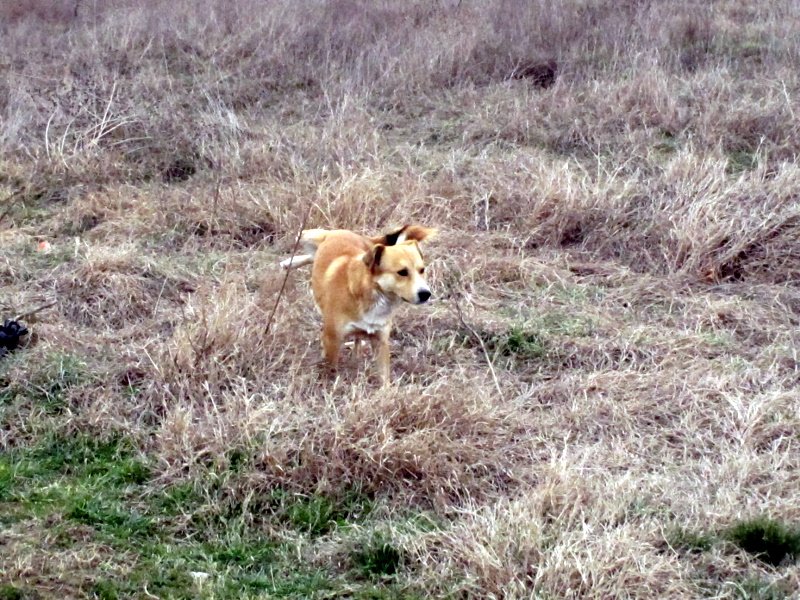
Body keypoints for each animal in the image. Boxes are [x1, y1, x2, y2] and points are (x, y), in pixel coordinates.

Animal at [282, 223, 438, 382]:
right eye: (402, 272)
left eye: (422, 270)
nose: (426, 294)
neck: (371, 292)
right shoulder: (332, 339)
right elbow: (331, 370)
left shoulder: (380, 342)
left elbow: (384, 378)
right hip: (308, 235)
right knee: (305, 240)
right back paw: (290, 262)